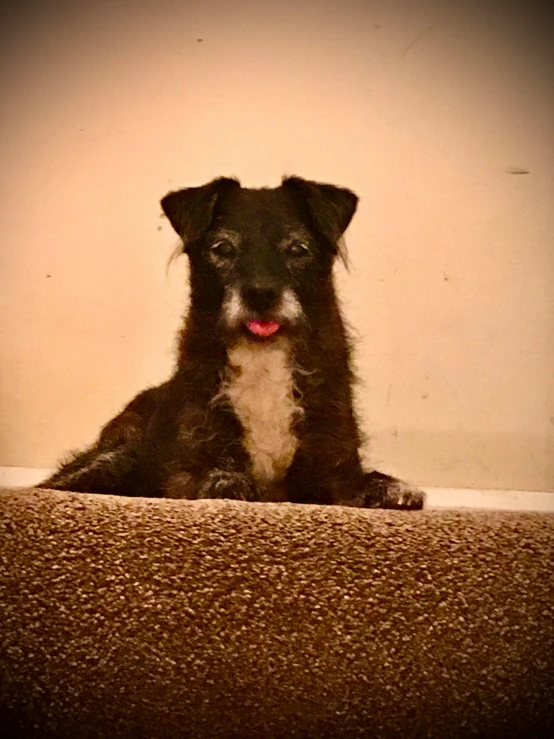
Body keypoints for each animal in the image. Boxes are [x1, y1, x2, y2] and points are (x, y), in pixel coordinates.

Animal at [40, 175, 422, 508]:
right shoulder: (181, 472)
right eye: (222, 248)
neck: (263, 357)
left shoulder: (331, 470)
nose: (261, 294)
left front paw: (390, 487)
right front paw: (225, 481)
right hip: (116, 455)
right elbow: (207, 476)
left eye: (298, 248)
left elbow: (356, 482)